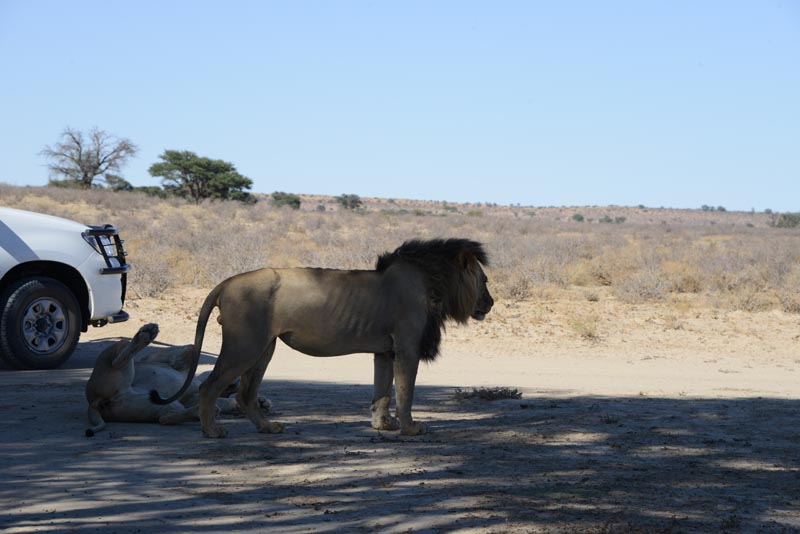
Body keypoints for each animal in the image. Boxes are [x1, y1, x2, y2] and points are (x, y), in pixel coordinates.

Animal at [85, 323, 269, 437]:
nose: (235, 381)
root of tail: (93, 401)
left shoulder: (192, 396)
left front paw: (261, 401)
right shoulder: (160, 357)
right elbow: (189, 350)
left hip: (153, 404)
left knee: (164, 418)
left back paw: (197, 413)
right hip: (116, 356)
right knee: (117, 360)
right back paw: (146, 333)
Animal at [150, 238, 493, 438]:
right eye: (485, 281)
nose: (490, 303)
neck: (432, 280)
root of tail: (227, 282)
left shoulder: (386, 351)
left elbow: (382, 391)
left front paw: (382, 425)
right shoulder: (407, 347)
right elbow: (405, 392)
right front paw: (410, 428)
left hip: (264, 347)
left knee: (245, 394)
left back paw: (268, 427)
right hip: (245, 345)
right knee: (210, 387)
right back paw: (212, 430)